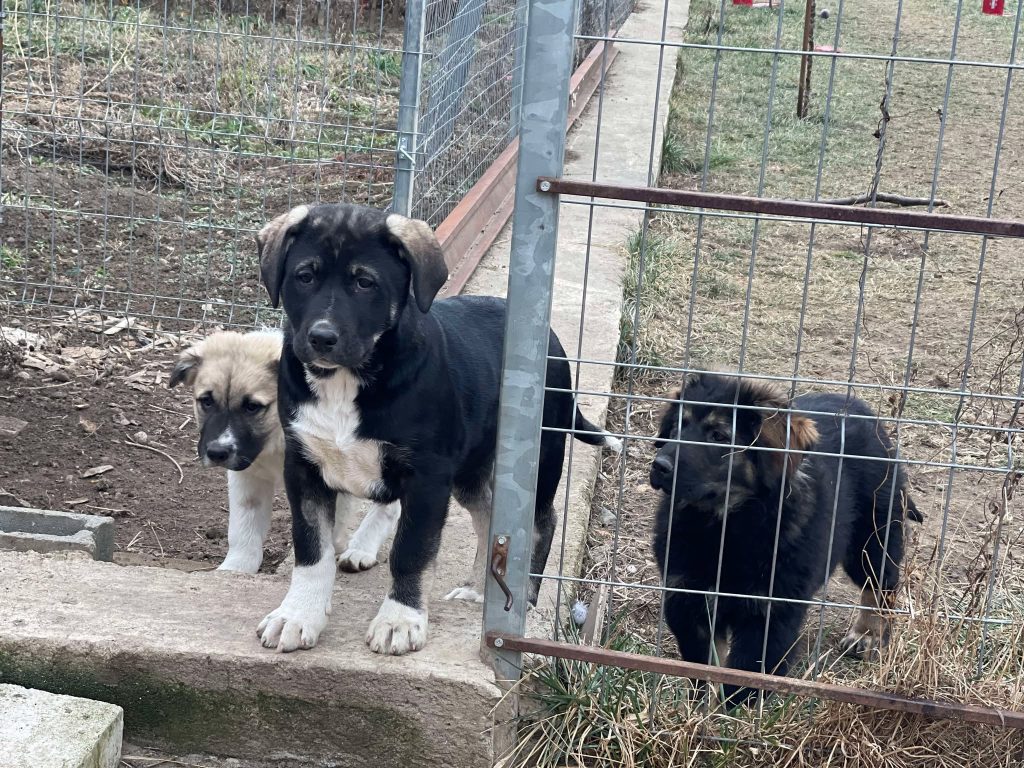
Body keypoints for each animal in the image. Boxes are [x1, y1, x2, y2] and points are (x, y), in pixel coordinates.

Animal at [253, 202, 622, 655]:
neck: (346, 381)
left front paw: (399, 619)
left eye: (364, 282)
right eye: (304, 276)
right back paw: (481, 590)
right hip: (470, 473)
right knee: (488, 516)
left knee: (540, 523)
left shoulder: (427, 478)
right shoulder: (304, 467)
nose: (322, 338)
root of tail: (551, 342)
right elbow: (311, 549)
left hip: (537, 456)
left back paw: (526, 599)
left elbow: (411, 552)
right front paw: (298, 614)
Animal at [651, 376, 925, 708]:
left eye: (719, 436)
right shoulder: (688, 599)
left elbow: (746, 674)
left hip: (872, 535)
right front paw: (701, 711)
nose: (659, 465)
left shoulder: (772, 611)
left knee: (881, 584)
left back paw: (867, 635)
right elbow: (705, 667)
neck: (725, 525)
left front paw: (731, 716)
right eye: (677, 426)